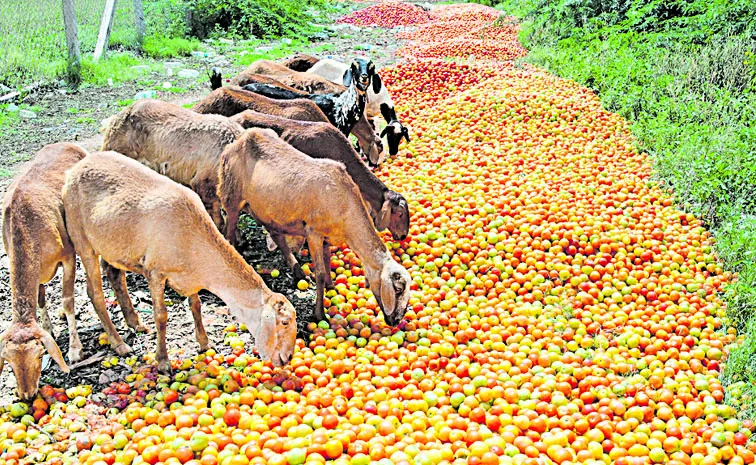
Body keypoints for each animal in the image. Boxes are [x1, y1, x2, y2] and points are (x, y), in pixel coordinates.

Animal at [62, 150, 298, 376]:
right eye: (284, 322)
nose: (286, 358)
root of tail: (77, 167)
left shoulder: (189, 277)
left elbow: (196, 305)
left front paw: (204, 343)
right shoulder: (155, 271)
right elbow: (161, 316)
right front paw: (163, 362)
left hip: (113, 245)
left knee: (114, 275)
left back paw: (135, 323)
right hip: (81, 237)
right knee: (95, 293)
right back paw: (119, 344)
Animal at [219, 126, 414, 322]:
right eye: (397, 289)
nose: (396, 321)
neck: (348, 211)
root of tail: (239, 140)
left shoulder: (328, 236)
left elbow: (327, 261)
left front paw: (331, 286)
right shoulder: (313, 233)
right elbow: (319, 272)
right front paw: (319, 313)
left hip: (266, 210)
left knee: (276, 236)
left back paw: (298, 272)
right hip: (232, 196)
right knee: (228, 234)